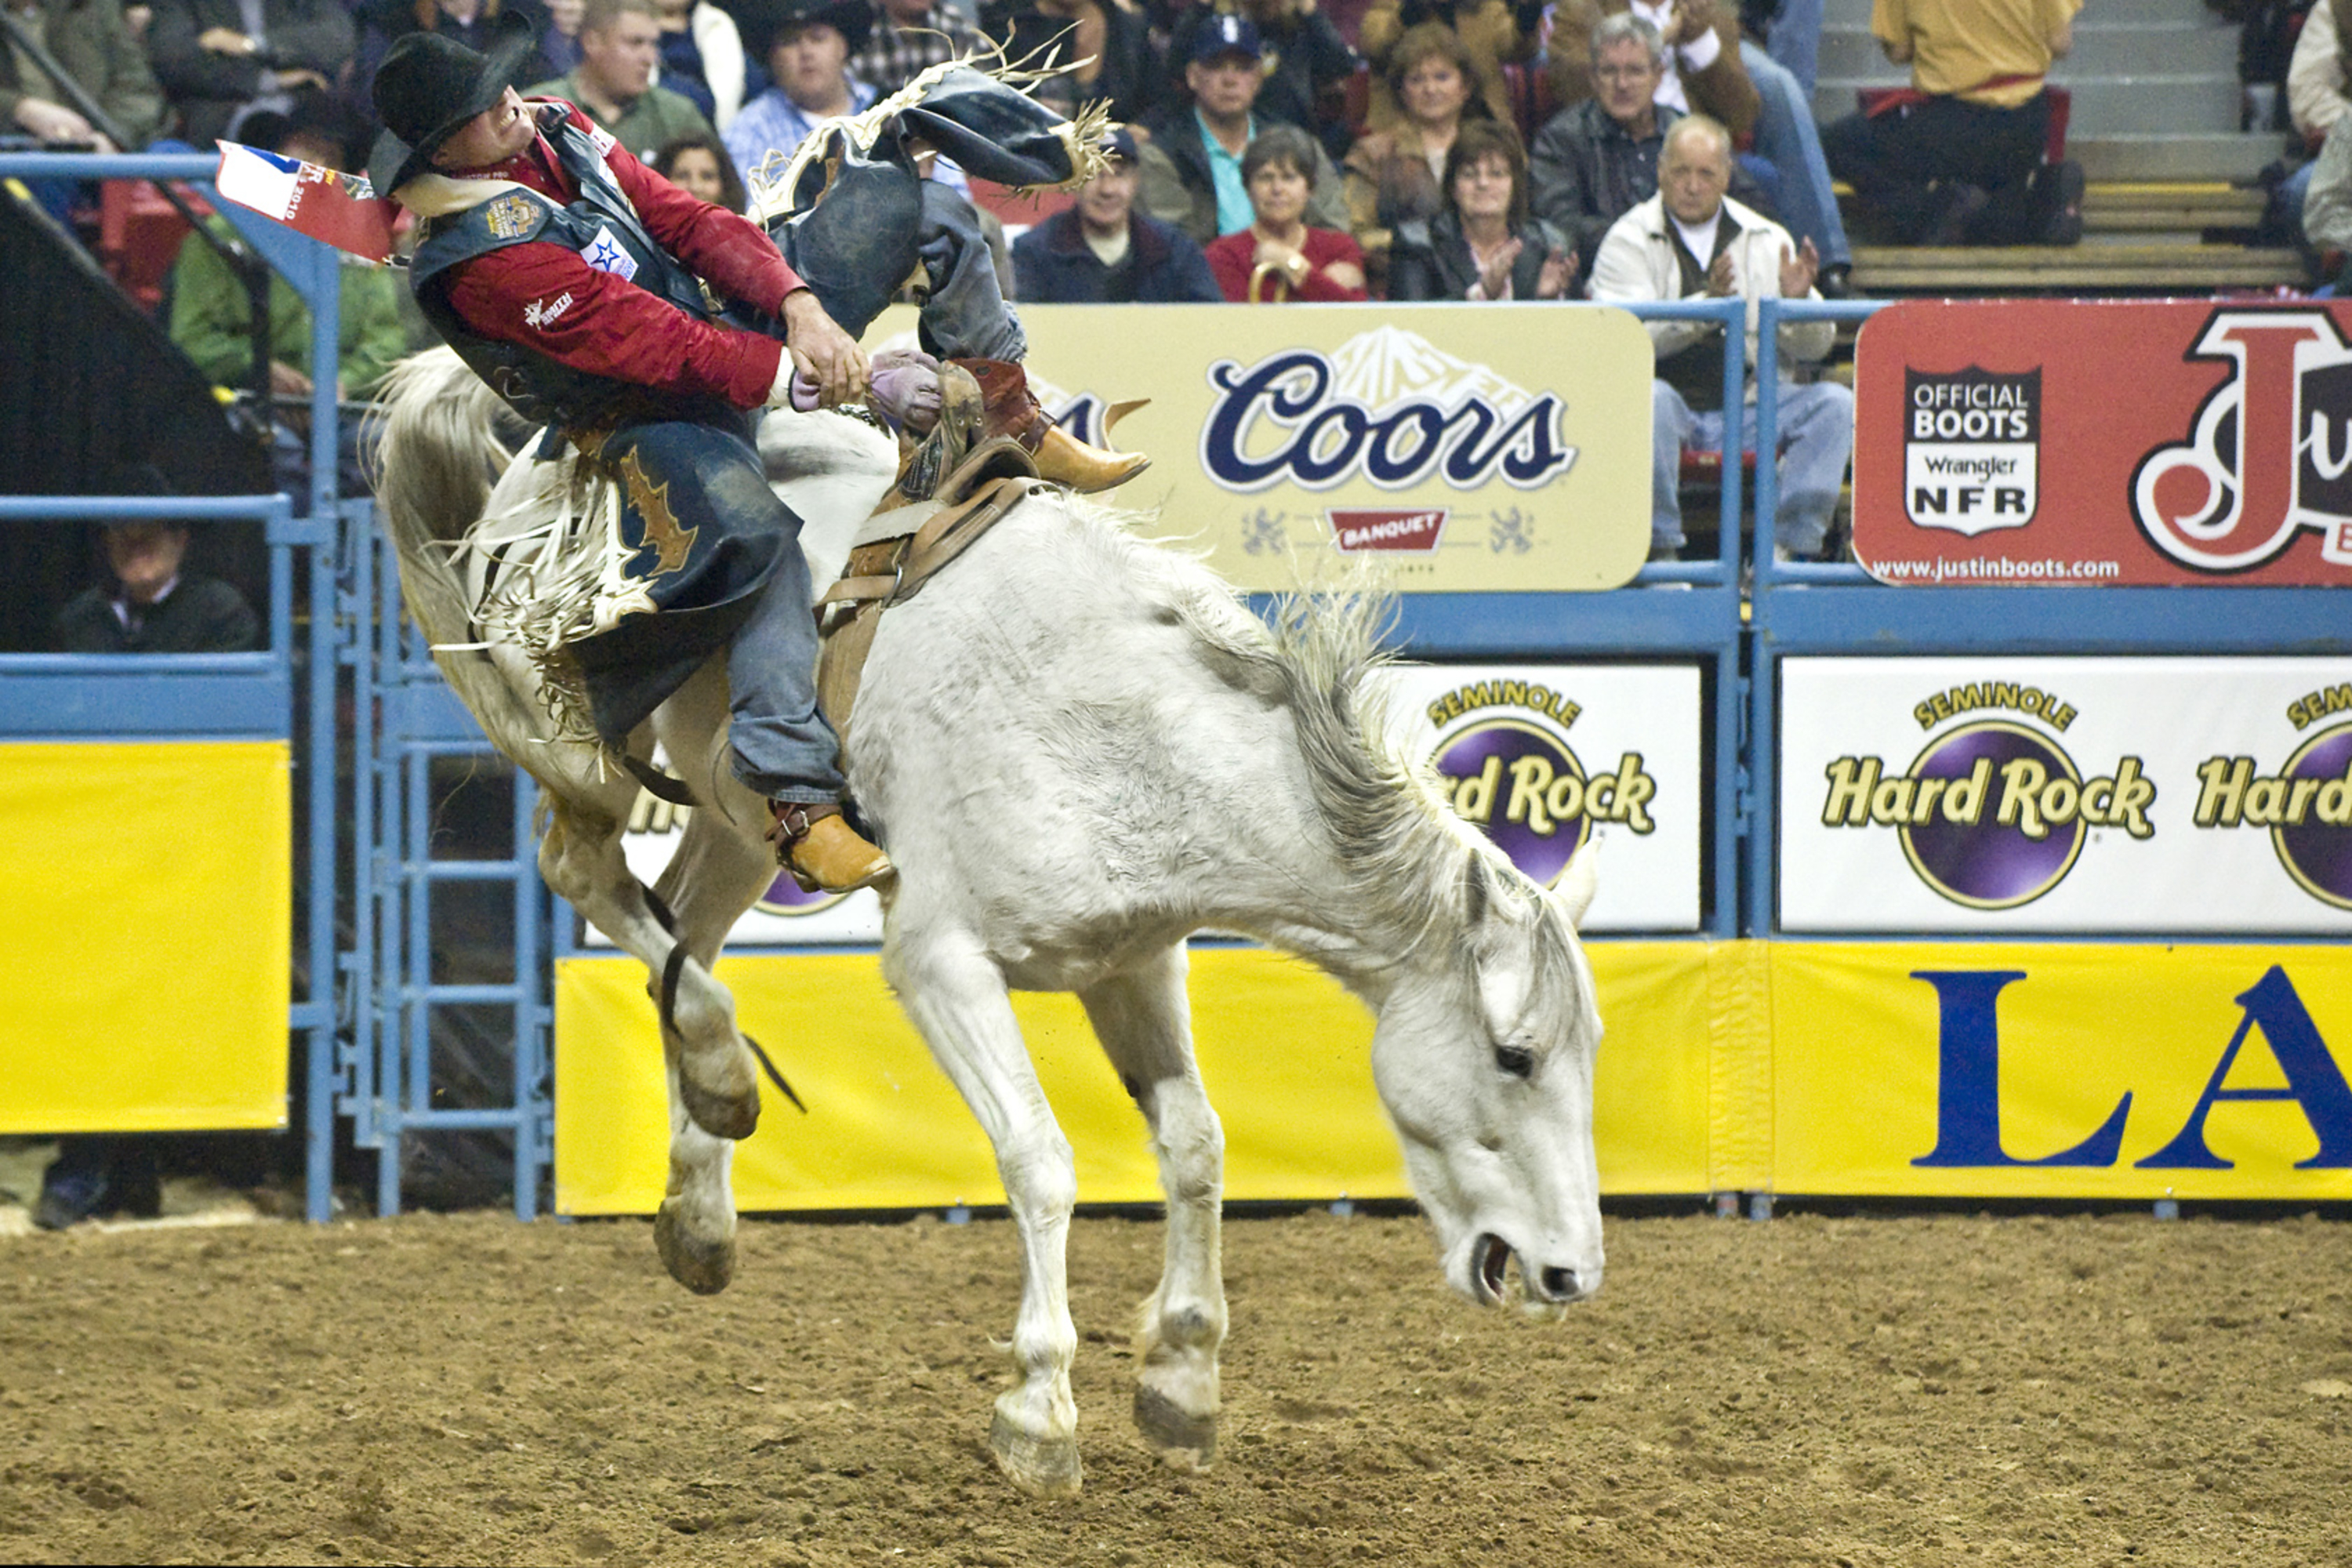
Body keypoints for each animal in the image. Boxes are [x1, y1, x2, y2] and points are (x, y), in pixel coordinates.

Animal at [376, 350, 1609, 1504]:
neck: (1117, 729)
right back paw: (723, 1080)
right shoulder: (941, 965)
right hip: (572, 733)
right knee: (584, 869)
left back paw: (704, 1203)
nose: (1570, 1275)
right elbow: (1041, 1161)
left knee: (686, 932)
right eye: (1515, 1053)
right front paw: (1040, 1410)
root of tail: (545, 458)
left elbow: (1197, 1147)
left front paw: (1182, 1379)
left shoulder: (1133, 960)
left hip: (745, 810)